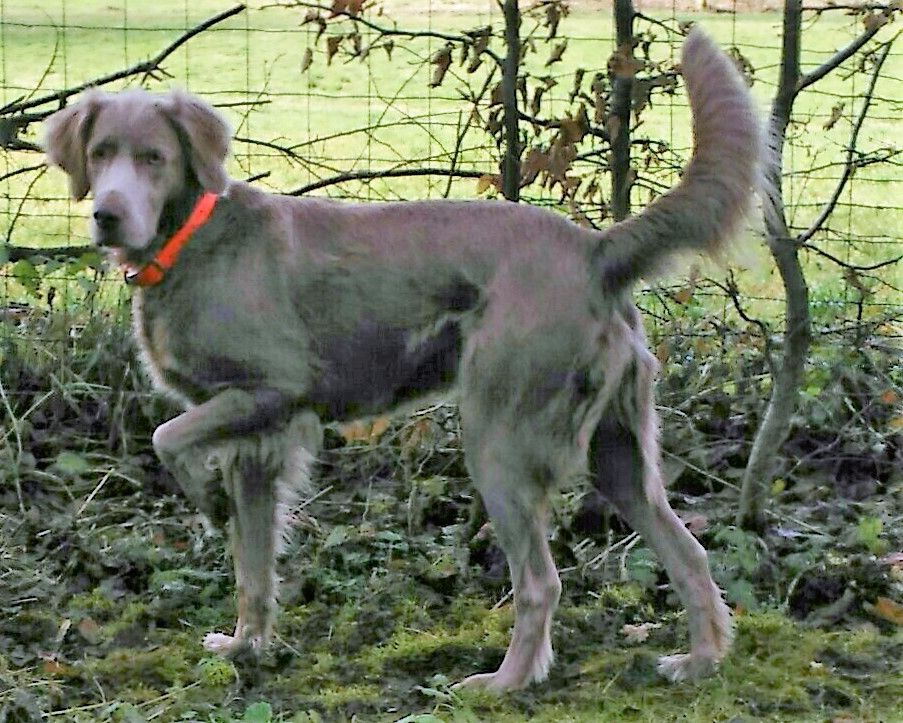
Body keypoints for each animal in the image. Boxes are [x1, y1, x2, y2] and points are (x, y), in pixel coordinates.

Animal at [44, 29, 764, 696]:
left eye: (155, 158)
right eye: (101, 153)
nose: (106, 215)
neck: (193, 239)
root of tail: (595, 249)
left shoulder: (272, 394)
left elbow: (168, 439)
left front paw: (209, 501)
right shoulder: (257, 444)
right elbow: (252, 563)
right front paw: (247, 644)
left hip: (498, 440)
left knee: (542, 581)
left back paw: (503, 682)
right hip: (617, 451)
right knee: (688, 551)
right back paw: (700, 660)